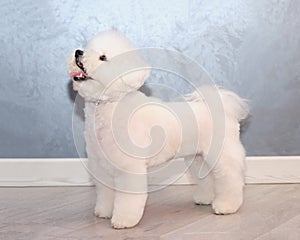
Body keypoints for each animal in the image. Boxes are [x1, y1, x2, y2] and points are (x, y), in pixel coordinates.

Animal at [66, 30, 248, 229]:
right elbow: (106, 193)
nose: (78, 52)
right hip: (198, 158)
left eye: (103, 57)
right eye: (88, 47)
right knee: (208, 178)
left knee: (230, 177)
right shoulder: (102, 166)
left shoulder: (129, 167)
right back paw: (205, 199)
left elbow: (128, 198)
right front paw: (104, 212)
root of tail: (219, 107)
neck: (110, 103)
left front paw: (123, 220)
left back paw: (226, 206)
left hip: (221, 152)